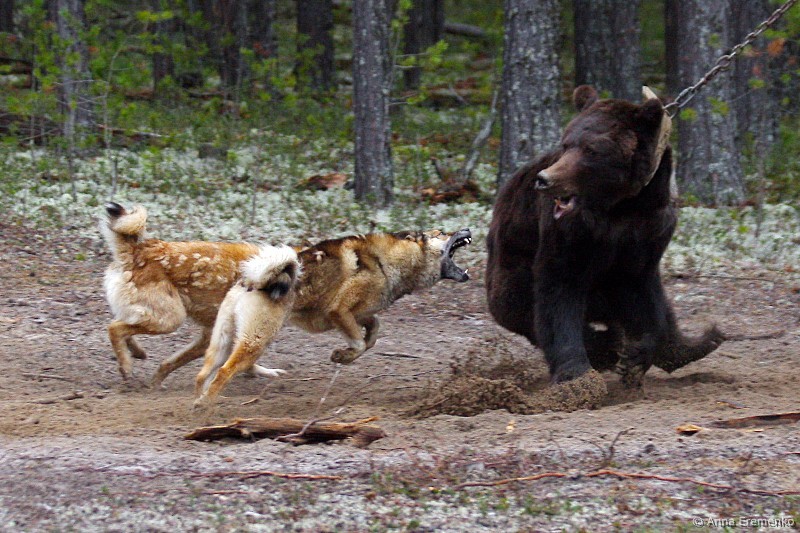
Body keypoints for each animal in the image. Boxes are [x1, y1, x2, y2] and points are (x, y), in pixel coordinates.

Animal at [193, 244, 300, 408]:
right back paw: (206, 403)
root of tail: (252, 284)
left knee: (202, 376)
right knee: (224, 372)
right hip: (254, 342)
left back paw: (201, 401)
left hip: (223, 341)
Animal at [485, 85, 724, 389]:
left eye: (591, 149)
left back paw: (694, 343)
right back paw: (607, 346)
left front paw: (636, 357)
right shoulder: (570, 233)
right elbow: (558, 291)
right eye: (566, 144)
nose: (545, 179)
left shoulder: (647, 230)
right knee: (517, 305)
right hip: (512, 258)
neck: (620, 206)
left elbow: (642, 293)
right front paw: (576, 375)